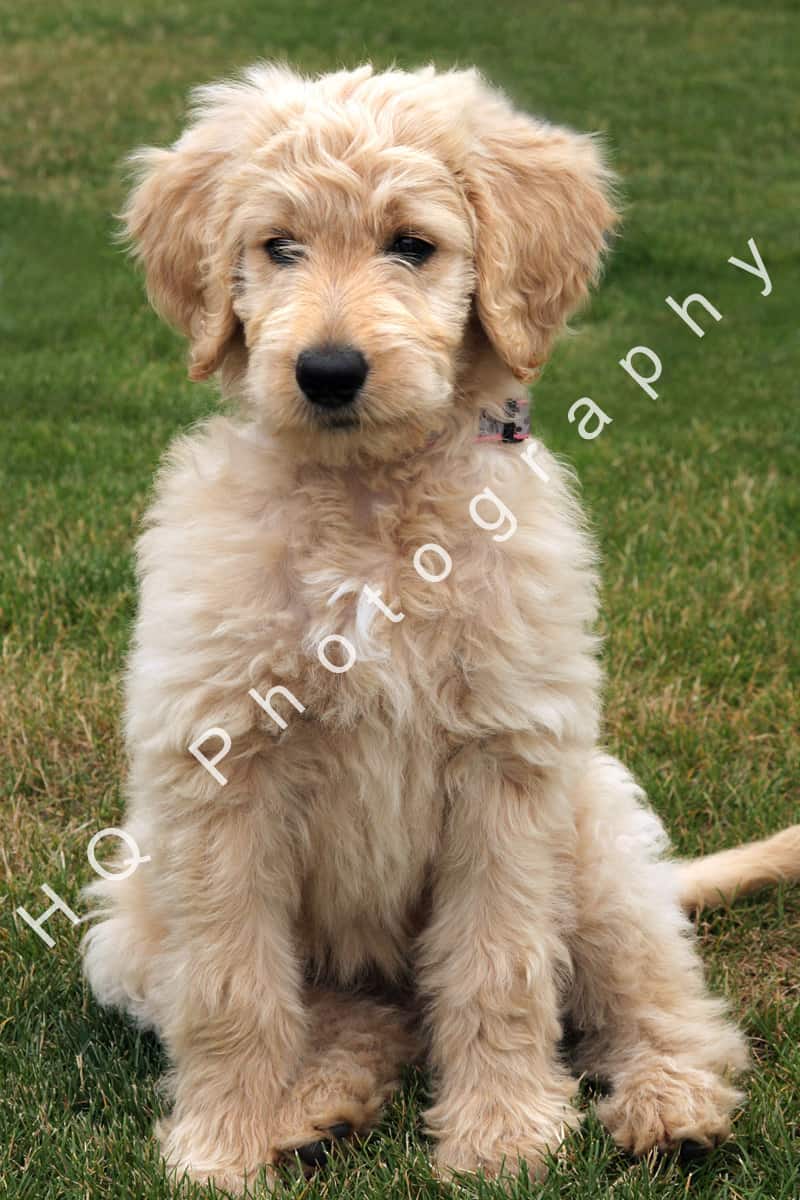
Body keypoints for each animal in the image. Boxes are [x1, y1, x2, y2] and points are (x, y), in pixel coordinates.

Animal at [82, 63, 800, 1190]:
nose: (328, 371)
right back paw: (319, 1102)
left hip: (595, 845)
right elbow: (233, 986)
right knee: (362, 1019)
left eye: (411, 244)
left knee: (664, 1003)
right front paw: (224, 1143)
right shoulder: (221, 774)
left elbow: (499, 970)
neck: (371, 507)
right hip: (133, 920)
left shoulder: (506, 764)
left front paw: (503, 1137)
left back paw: (670, 1105)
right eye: (277, 245)